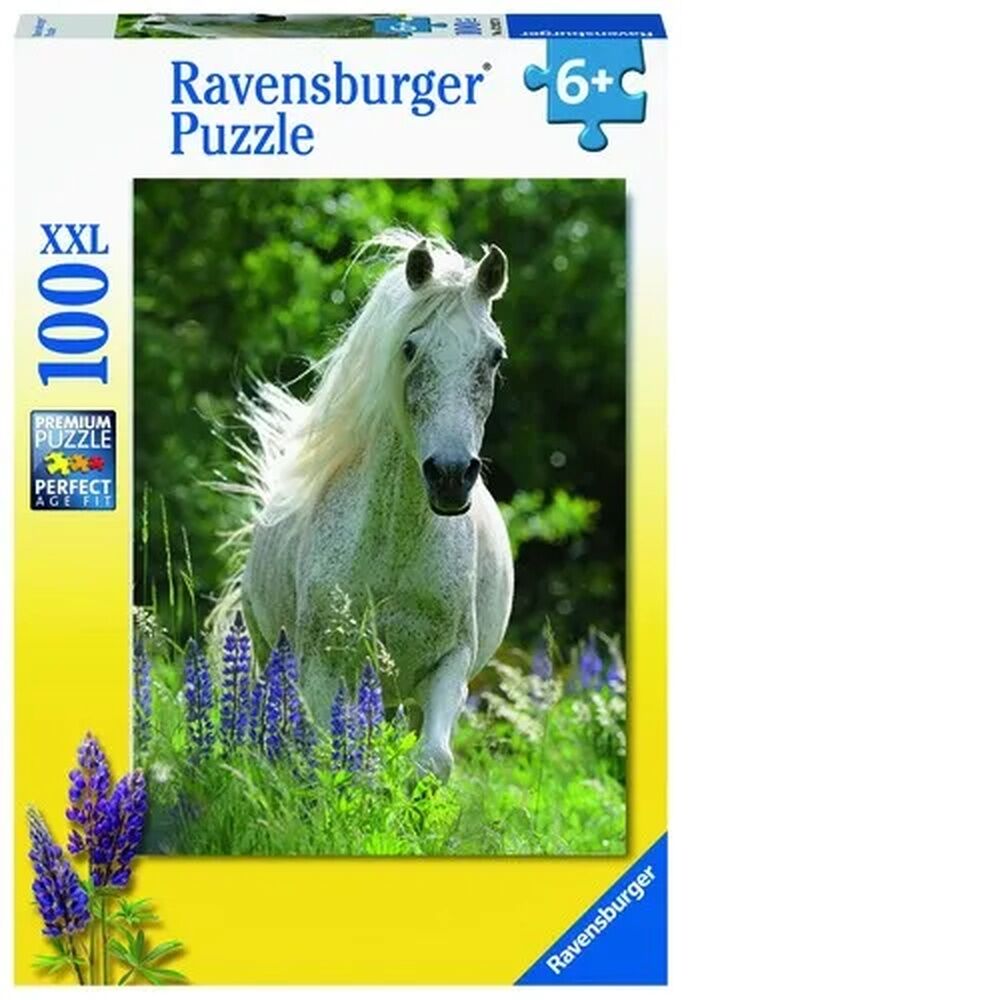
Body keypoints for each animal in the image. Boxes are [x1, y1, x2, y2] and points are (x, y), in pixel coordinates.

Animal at [227, 230, 514, 781]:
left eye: (494, 356)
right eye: (409, 347)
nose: (450, 477)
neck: (395, 550)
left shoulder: (449, 665)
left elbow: (432, 761)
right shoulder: (320, 666)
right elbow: (318, 754)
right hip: (269, 651)